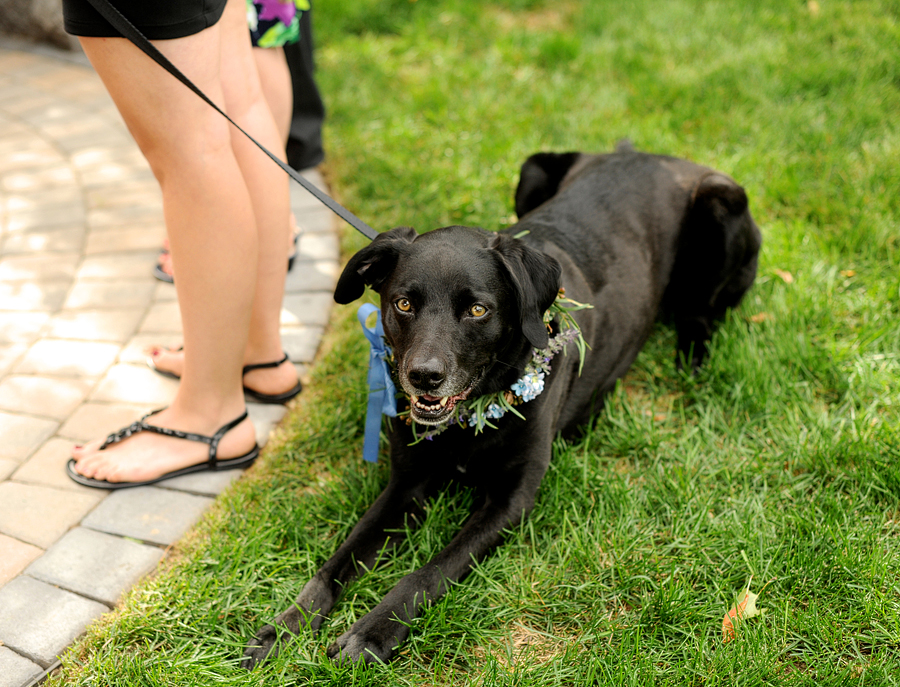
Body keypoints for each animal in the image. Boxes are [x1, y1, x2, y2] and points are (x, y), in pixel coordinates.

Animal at [244, 144, 760, 668]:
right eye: (404, 303)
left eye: (478, 310)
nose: (423, 376)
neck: (468, 421)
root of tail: (647, 151)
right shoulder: (405, 486)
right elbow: (334, 563)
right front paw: (283, 628)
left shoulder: (511, 501)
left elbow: (427, 572)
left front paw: (372, 632)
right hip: (534, 169)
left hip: (721, 203)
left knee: (702, 312)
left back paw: (692, 358)